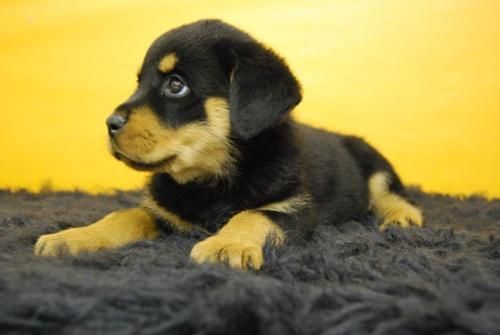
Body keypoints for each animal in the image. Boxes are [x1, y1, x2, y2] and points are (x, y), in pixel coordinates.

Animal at [33, 19, 422, 270]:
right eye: (139, 82)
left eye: (176, 85)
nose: (109, 124)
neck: (210, 179)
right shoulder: (164, 211)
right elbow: (124, 214)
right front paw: (75, 237)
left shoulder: (294, 209)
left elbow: (252, 214)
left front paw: (225, 244)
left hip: (373, 162)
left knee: (389, 193)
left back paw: (401, 217)